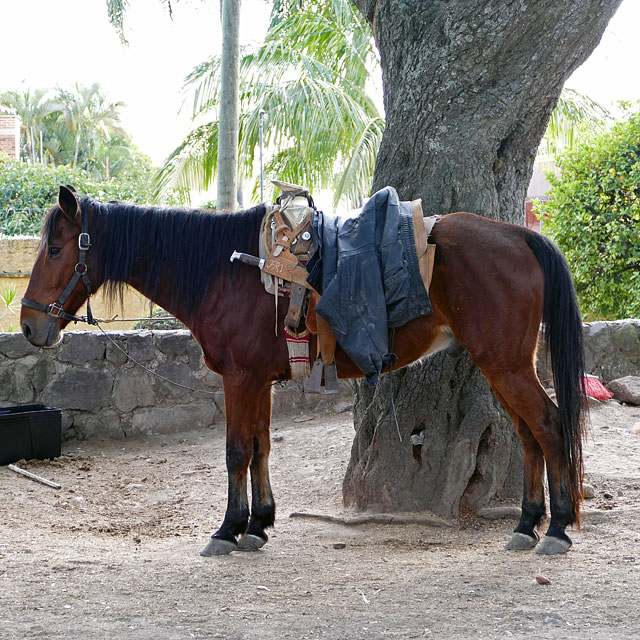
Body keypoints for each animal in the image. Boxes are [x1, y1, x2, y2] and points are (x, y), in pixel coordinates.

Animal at [20, 185, 588, 556]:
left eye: (55, 247)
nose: (28, 325)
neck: (221, 271)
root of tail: (519, 237)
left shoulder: (240, 379)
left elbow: (236, 451)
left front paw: (227, 530)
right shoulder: (258, 382)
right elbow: (260, 448)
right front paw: (257, 525)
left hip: (506, 365)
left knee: (548, 426)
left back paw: (557, 528)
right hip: (505, 366)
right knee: (530, 434)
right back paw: (527, 524)